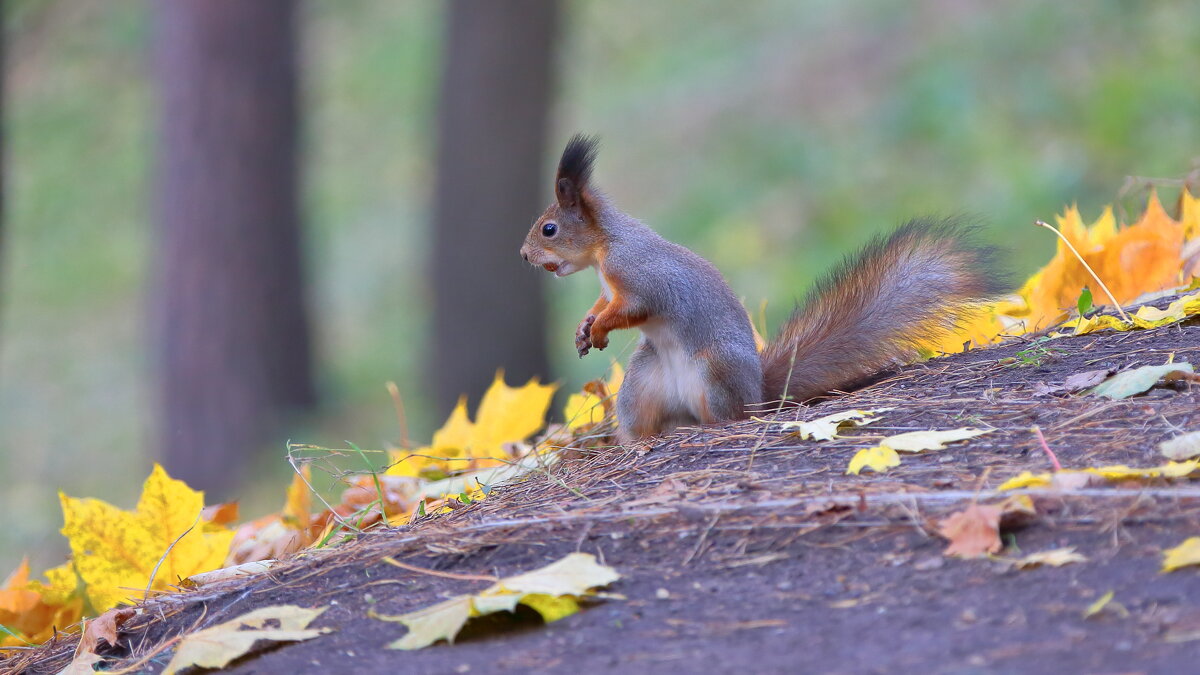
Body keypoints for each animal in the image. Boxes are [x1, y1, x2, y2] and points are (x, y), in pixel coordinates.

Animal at [520, 134, 1008, 444]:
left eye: (549, 229)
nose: (523, 255)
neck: (607, 246)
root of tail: (759, 393)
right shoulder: (611, 284)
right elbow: (604, 302)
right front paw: (585, 327)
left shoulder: (639, 275)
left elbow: (632, 307)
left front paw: (600, 327)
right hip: (642, 383)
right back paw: (639, 438)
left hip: (715, 370)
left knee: (728, 416)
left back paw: (712, 426)